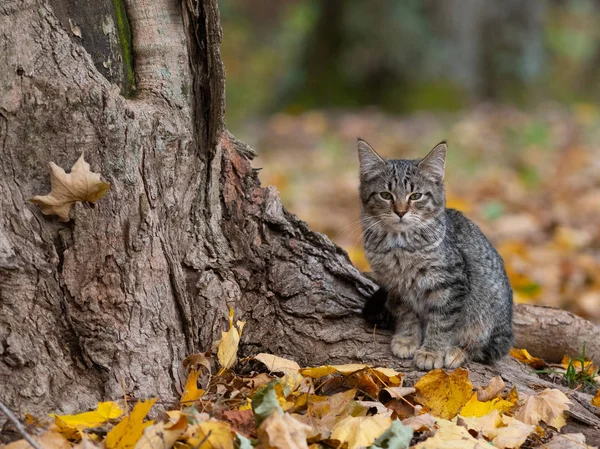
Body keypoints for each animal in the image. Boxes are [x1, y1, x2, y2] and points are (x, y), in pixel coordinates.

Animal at [358, 139, 512, 368]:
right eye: (386, 195)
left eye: (416, 196)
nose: (400, 212)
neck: (399, 246)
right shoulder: (397, 288)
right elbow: (407, 316)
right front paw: (407, 339)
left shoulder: (450, 285)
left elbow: (442, 322)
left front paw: (432, 351)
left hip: (487, 320)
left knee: (484, 348)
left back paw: (456, 352)